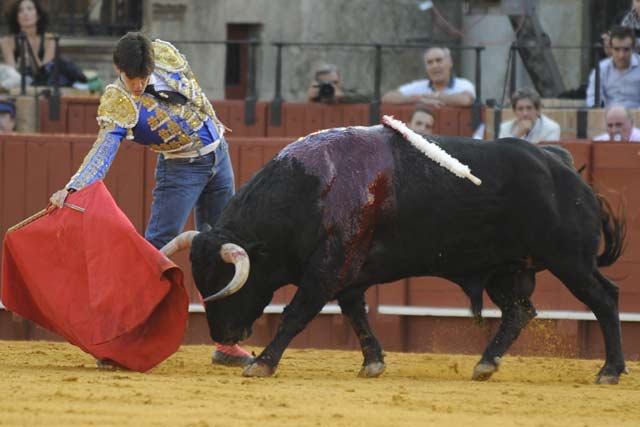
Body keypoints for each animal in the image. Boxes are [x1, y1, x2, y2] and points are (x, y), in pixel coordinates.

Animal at [161, 123, 624, 384]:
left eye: (231, 283)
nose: (223, 335)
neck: (313, 188)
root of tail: (564, 166)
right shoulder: (349, 272)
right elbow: (356, 313)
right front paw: (373, 363)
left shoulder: (328, 267)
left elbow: (296, 313)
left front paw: (262, 363)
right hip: (505, 269)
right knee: (519, 311)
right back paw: (485, 364)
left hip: (570, 261)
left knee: (604, 299)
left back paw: (610, 371)